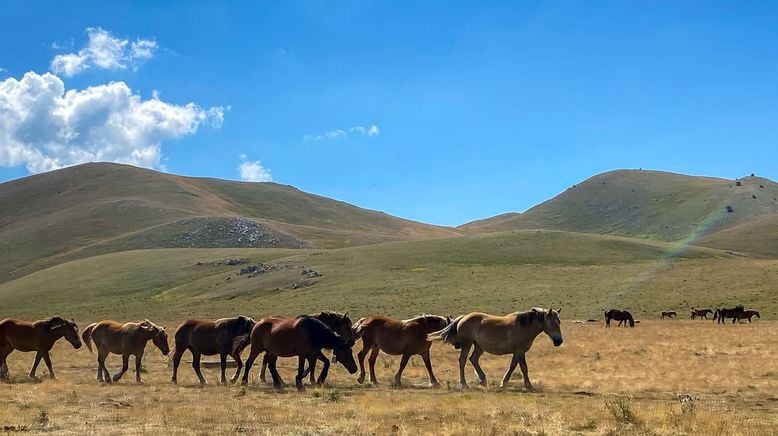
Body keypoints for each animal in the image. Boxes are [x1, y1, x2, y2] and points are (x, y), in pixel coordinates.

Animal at [428, 308, 560, 390]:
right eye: (552, 323)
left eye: (559, 322)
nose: (559, 341)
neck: (523, 326)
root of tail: (463, 318)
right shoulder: (520, 351)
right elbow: (523, 368)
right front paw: (529, 385)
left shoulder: (517, 352)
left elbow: (513, 366)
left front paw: (504, 383)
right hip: (467, 344)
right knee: (463, 361)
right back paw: (464, 384)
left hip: (479, 346)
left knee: (473, 359)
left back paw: (482, 379)